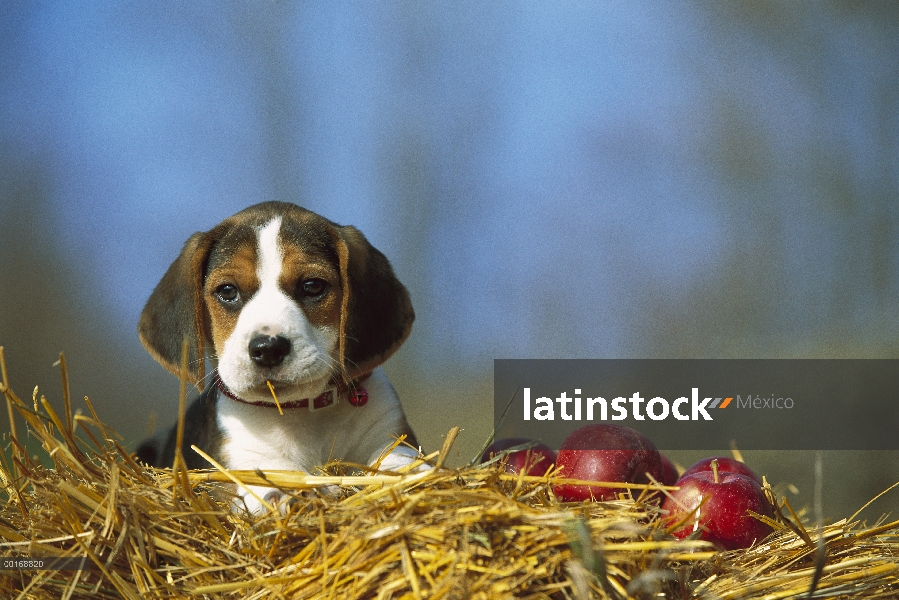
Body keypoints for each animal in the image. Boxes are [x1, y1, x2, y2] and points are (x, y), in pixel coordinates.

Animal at [136, 204, 422, 512]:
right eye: (227, 291)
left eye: (312, 286)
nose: (268, 348)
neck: (302, 412)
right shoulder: (237, 457)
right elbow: (271, 470)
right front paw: (293, 490)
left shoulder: (391, 428)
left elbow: (398, 456)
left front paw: (406, 474)